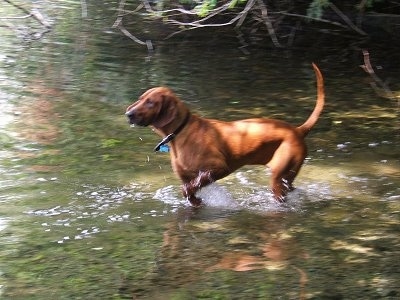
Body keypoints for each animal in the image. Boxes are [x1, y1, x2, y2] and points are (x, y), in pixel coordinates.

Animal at [126, 63, 324, 206]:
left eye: (150, 103)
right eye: (141, 98)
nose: (128, 114)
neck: (181, 131)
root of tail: (297, 130)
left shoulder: (219, 168)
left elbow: (190, 188)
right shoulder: (186, 177)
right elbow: (188, 192)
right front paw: (196, 201)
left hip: (278, 175)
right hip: (287, 176)